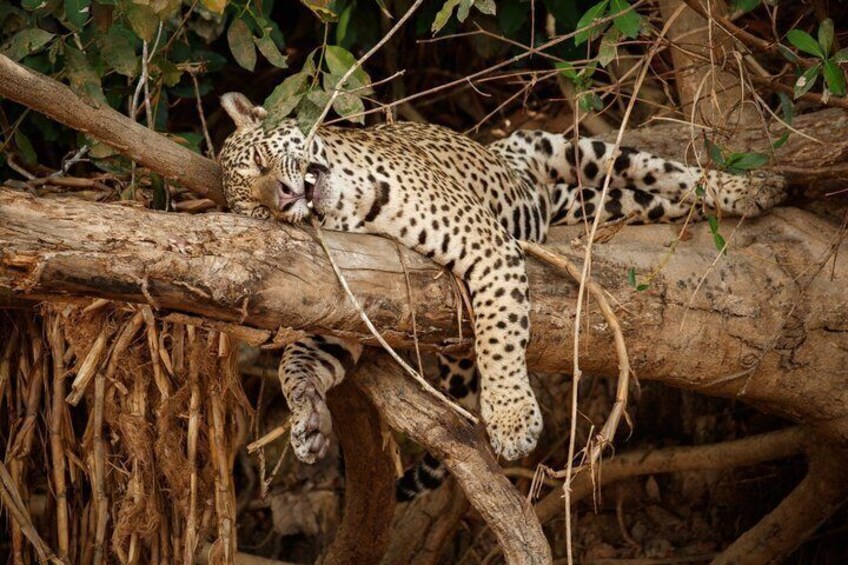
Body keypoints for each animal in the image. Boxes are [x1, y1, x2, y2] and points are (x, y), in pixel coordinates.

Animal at [218, 92, 786, 494]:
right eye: (258, 211)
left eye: (264, 161)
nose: (284, 196)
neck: (350, 208)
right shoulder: (355, 301)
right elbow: (296, 363)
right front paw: (307, 421)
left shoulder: (484, 245)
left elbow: (498, 332)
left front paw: (512, 420)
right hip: (596, 200)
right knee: (645, 199)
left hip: (567, 146)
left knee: (667, 171)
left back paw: (754, 188)